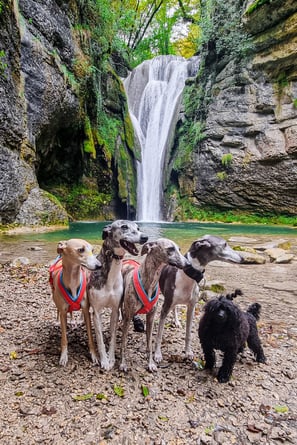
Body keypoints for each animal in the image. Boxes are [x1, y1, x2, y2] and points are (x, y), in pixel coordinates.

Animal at [49, 238, 101, 366]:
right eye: (81, 250)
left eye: (92, 250)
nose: (99, 266)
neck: (73, 279)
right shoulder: (63, 312)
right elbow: (64, 338)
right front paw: (63, 356)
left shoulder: (86, 310)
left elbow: (90, 337)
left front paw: (94, 355)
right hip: (54, 297)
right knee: (59, 310)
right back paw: (58, 321)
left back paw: (75, 320)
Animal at [88, 220, 148, 370]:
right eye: (124, 227)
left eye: (138, 228)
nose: (145, 237)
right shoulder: (96, 311)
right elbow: (99, 338)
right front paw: (104, 360)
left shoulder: (114, 310)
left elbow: (113, 336)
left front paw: (111, 359)